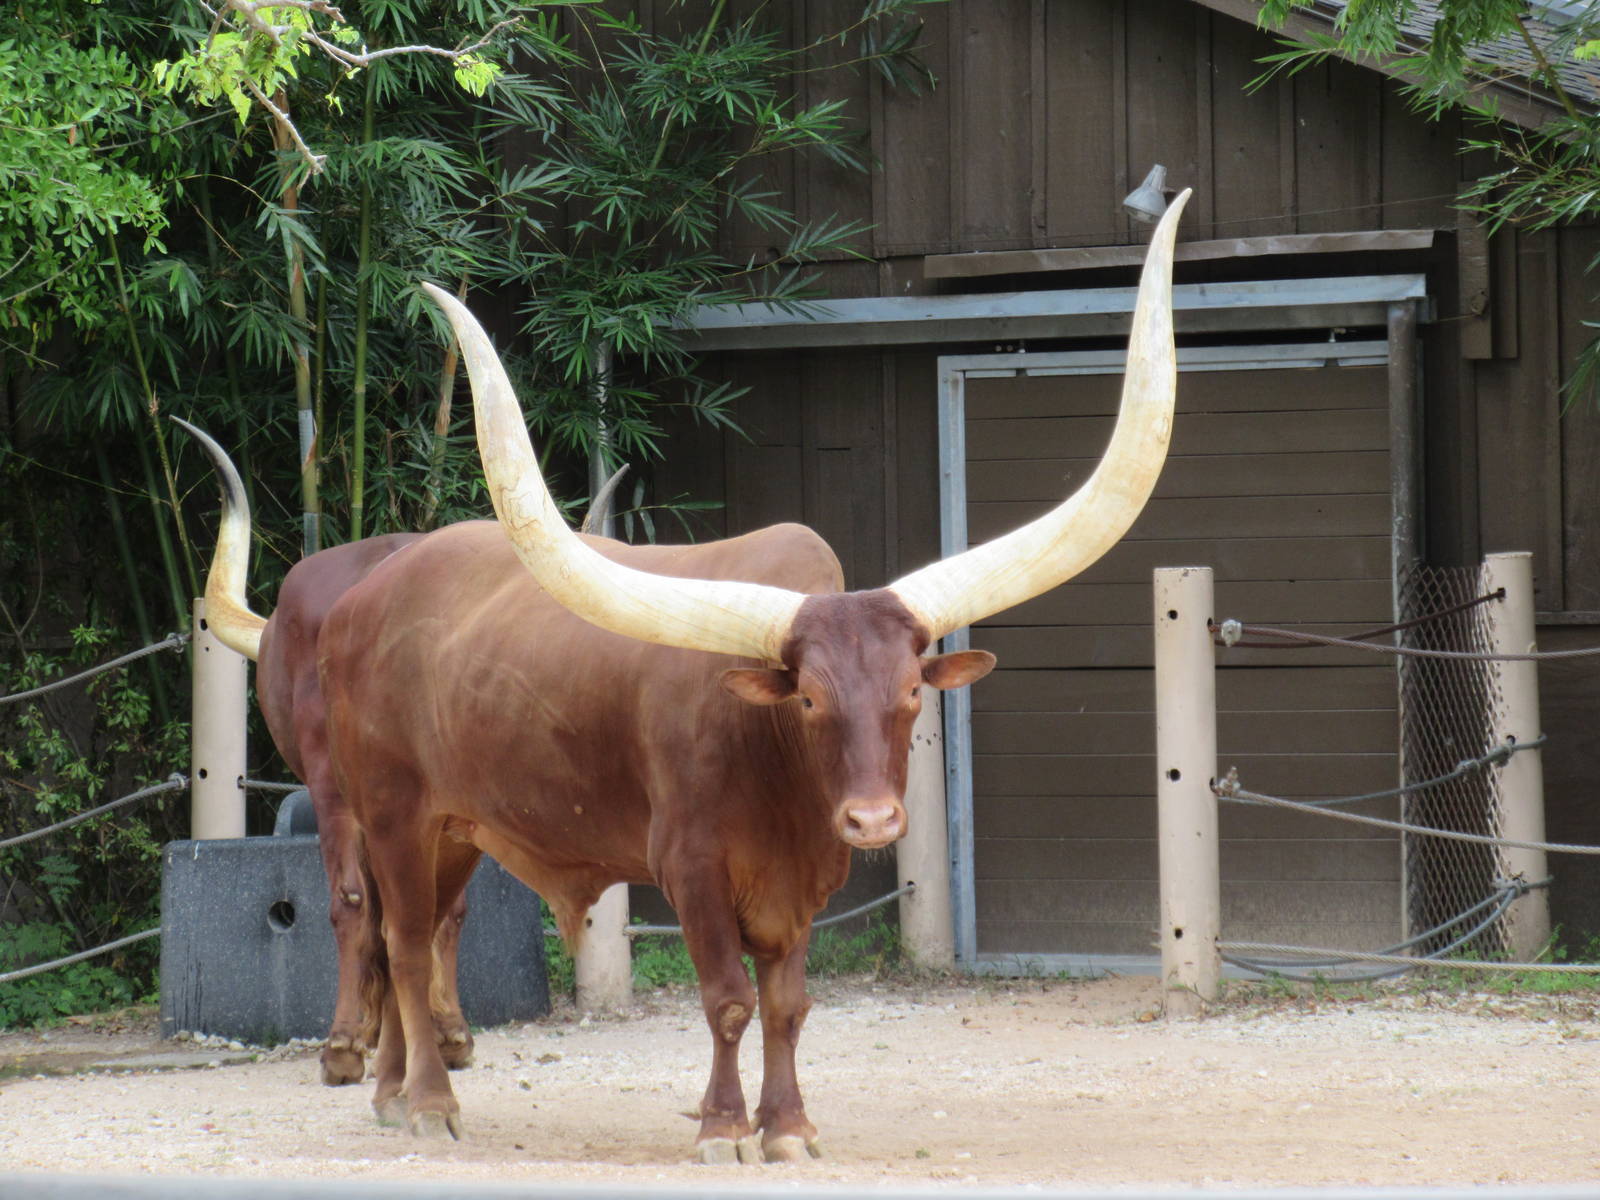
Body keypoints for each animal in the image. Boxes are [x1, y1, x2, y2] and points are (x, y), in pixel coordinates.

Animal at [192, 192, 1186, 1162]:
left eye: (912, 696)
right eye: (811, 699)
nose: (872, 821)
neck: (776, 764)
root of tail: (360, 599)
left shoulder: (803, 880)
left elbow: (787, 1004)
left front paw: (788, 1128)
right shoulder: (692, 866)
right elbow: (729, 1000)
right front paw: (721, 1129)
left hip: (458, 827)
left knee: (430, 926)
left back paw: (395, 1093)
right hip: (387, 807)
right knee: (390, 935)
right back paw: (428, 1104)